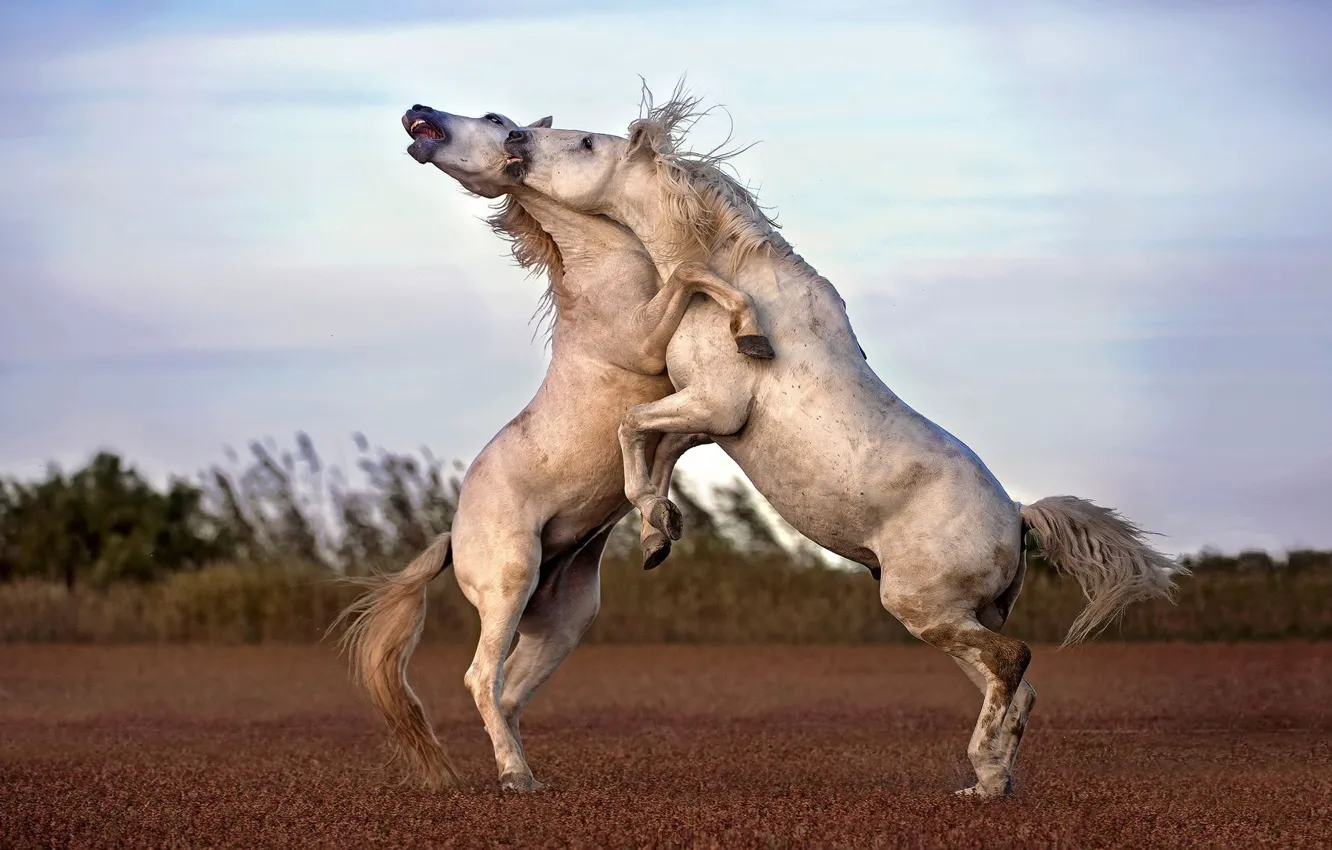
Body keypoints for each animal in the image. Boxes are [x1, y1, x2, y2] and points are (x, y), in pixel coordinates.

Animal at [333, 103, 777, 794]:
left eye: (492, 117)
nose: (418, 115)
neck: (601, 271)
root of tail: (453, 537)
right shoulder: (648, 345)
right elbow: (692, 273)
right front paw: (753, 333)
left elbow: (663, 453)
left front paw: (658, 527)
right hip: (510, 585)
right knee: (480, 678)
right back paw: (516, 778)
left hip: (563, 622)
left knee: (510, 694)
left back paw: (523, 771)